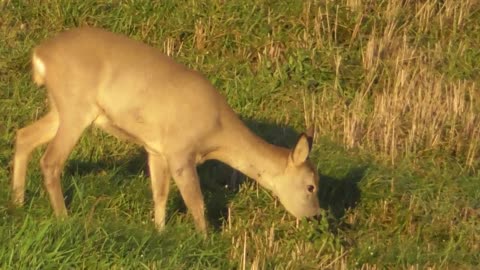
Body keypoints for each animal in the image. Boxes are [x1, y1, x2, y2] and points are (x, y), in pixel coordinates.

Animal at [11, 28, 320, 234]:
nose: (316, 216)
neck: (217, 131)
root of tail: (40, 54)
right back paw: (63, 217)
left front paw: (159, 231)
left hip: (60, 109)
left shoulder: (156, 150)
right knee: (50, 160)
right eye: (311, 186)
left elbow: (159, 194)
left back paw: (17, 201)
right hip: (76, 108)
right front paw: (205, 240)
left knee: (23, 136)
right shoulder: (180, 152)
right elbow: (196, 202)